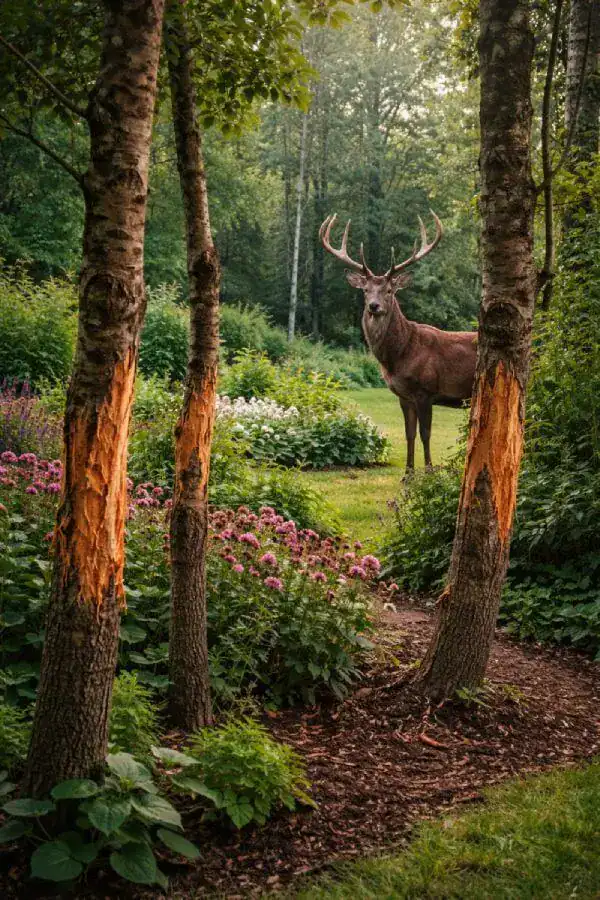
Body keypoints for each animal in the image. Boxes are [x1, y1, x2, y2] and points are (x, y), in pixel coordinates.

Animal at [320, 211, 477, 473]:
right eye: (365, 290)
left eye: (390, 291)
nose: (374, 306)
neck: (399, 356)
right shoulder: (403, 395)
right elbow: (409, 434)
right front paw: (408, 475)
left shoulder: (426, 390)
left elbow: (425, 434)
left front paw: (429, 472)